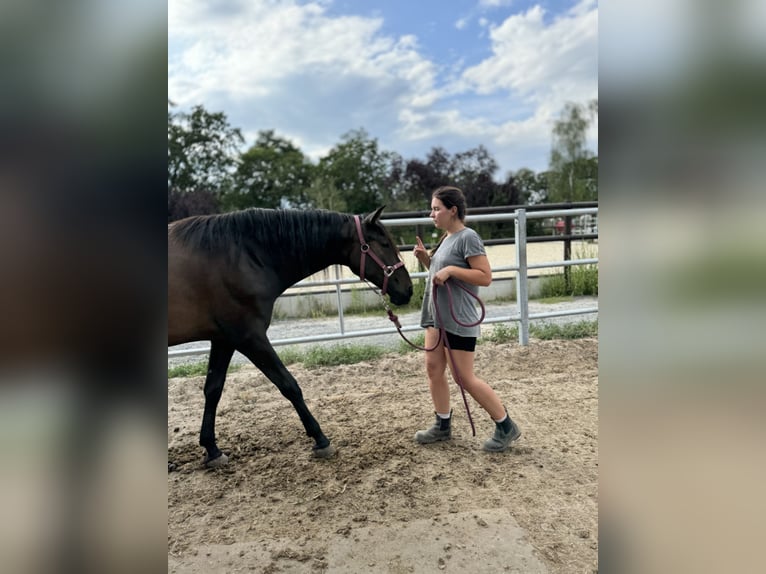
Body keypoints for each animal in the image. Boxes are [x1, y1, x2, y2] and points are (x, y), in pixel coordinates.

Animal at [169, 207, 414, 468]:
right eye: (384, 243)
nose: (408, 289)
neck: (241, 255)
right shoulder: (250, 337)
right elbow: (289, 385)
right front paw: (320, 439)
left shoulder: (224, 339)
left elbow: (213, 390)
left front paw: (212, 450)